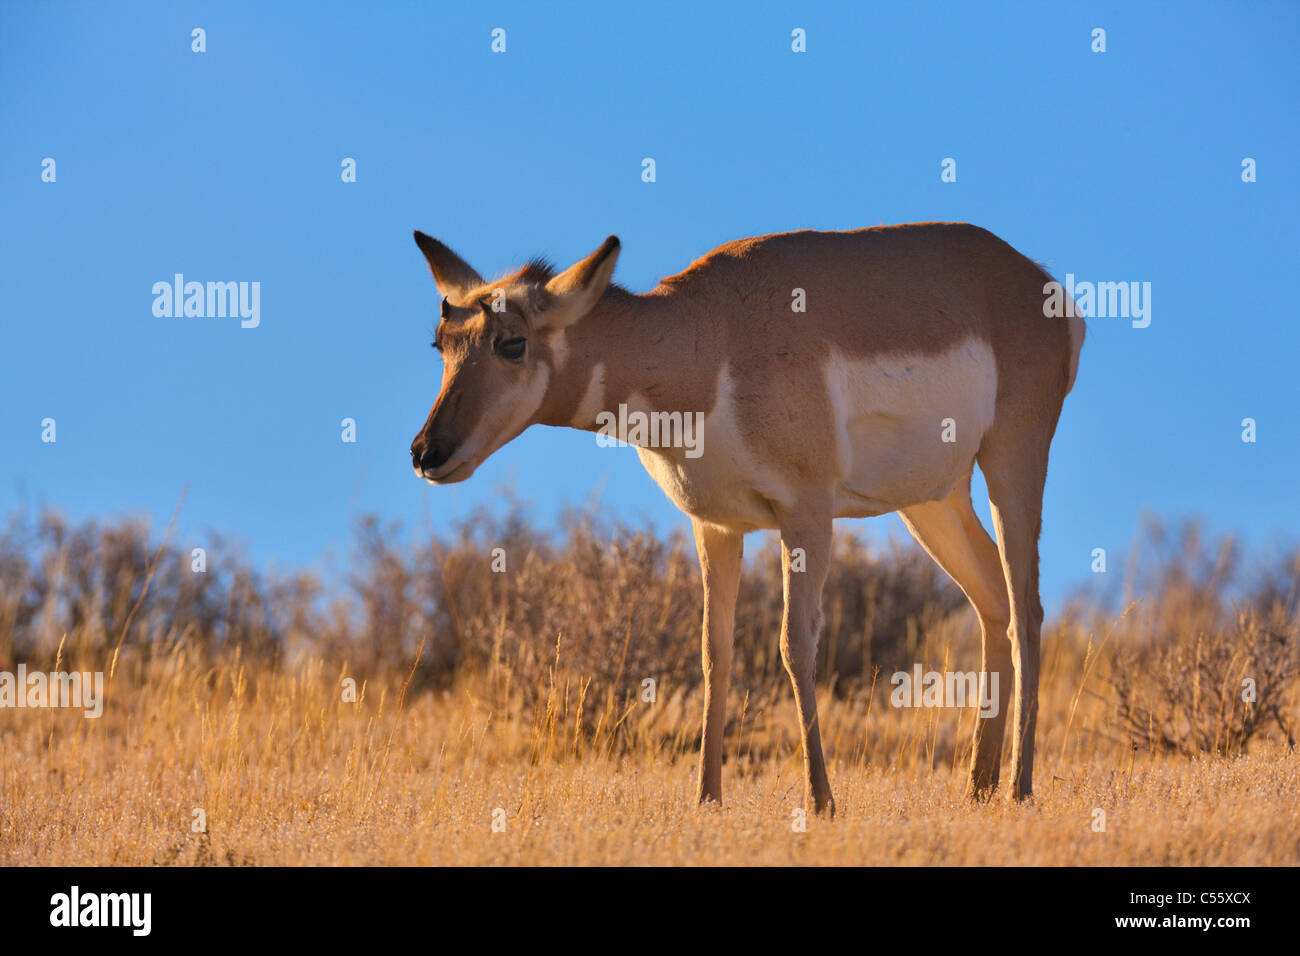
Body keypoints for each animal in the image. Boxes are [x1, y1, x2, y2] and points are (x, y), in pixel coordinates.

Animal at [410, 223, 1081, 816]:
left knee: (1027, 609)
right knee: (993, 600)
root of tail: (1038, 282)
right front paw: (706, 798)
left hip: (1011, 464)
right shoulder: (716, 527)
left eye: (512, 342)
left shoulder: (806, 515)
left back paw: (1018, 788)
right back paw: (977, 788)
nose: (425, 453)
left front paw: (821, 801)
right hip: (932, 500)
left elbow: (793, 644)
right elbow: (715, 652)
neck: (709, 338)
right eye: (441, 342)